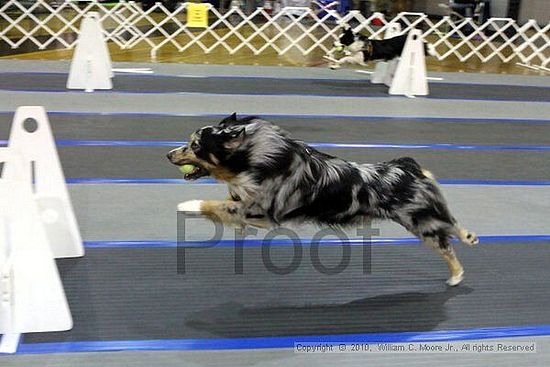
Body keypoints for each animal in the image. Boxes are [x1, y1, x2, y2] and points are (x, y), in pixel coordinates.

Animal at [167, 113, 478, 286]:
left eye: (195, 145)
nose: (168, 154)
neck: (254, 156)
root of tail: (408, 168)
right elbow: (226, 205)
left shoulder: (262, 212)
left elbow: (216, 206)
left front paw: (187, 205)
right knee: (452, 226)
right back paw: (470, 239)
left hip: (420, 221)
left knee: (447, 241)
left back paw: (457, 275)